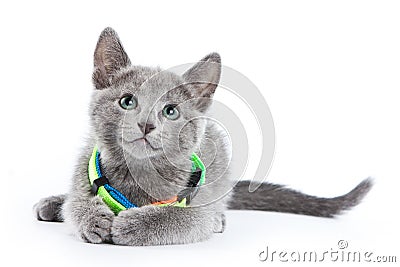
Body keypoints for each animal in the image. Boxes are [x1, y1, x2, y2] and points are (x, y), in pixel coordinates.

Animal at [33, 27, 372, 247]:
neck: (137, 175)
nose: (146, 125)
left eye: (170, 111)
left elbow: (178, 217)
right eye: (127, 102)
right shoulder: (85, 169)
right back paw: (53, 203)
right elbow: (78, 203)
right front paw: (92, 217)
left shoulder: (196, 206)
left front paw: (135, 224)